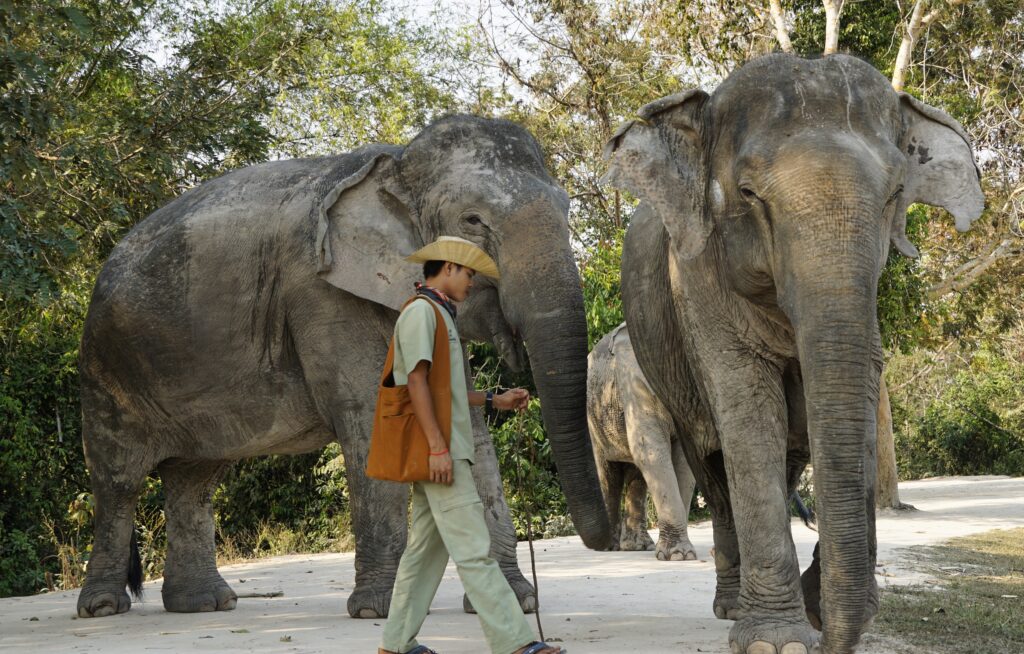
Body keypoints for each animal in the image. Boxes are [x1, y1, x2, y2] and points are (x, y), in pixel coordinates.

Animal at [77, 115, 614, 622]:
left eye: (566, 208)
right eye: (473, 219)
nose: (609, 544)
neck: (397, 163)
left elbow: (467, 422)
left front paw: (517, 602)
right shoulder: (322, 294)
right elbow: (370, 413)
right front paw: (379, 610)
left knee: (195, 479)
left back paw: (205, 604)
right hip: (108, 368)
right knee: (119, 480)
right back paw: (105, 608)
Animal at [589, 325, 700, 560]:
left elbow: (683, 461)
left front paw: (680, 554)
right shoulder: (634, 384)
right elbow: (652, 451)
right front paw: (678, 556)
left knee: (636, 475)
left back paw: (638, 546)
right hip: (594, 416)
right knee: (608, 473)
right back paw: (608, 547)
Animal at [602, 55, 987, 654]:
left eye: (896, 193)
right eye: (748, 193)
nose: (833, 633)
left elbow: (847, 400)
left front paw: (826, 608)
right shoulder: (697, 282)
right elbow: (747, 413)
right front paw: (775, 641)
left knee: (787, 456)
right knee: (711, 463)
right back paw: (730, 605)